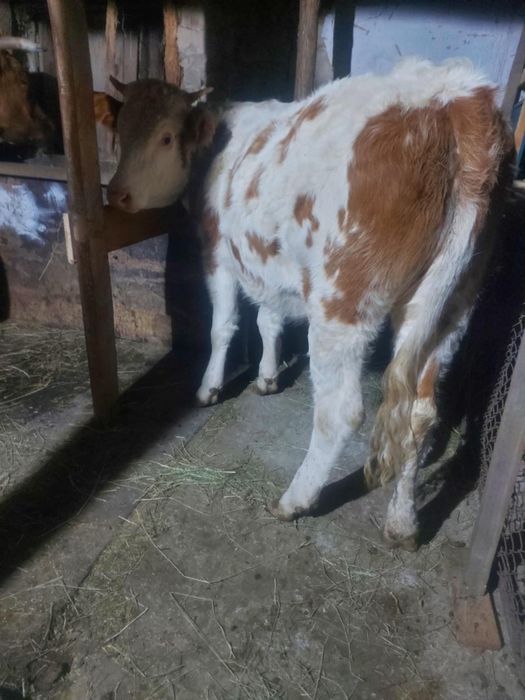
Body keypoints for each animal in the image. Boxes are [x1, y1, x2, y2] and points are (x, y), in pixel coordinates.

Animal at [97, 58, 513, 550]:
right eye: (122, 130)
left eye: (165, 137)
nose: (117, 194)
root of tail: (452, 96)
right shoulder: (267, 262)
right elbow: (269, 319)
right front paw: (267, 377)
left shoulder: (217, 252)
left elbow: (224, 325)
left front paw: (209, 387)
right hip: (450, 306)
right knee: (420, 413)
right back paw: (402, 523)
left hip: (342, 301)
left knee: (341, 412)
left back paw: (296, 499)